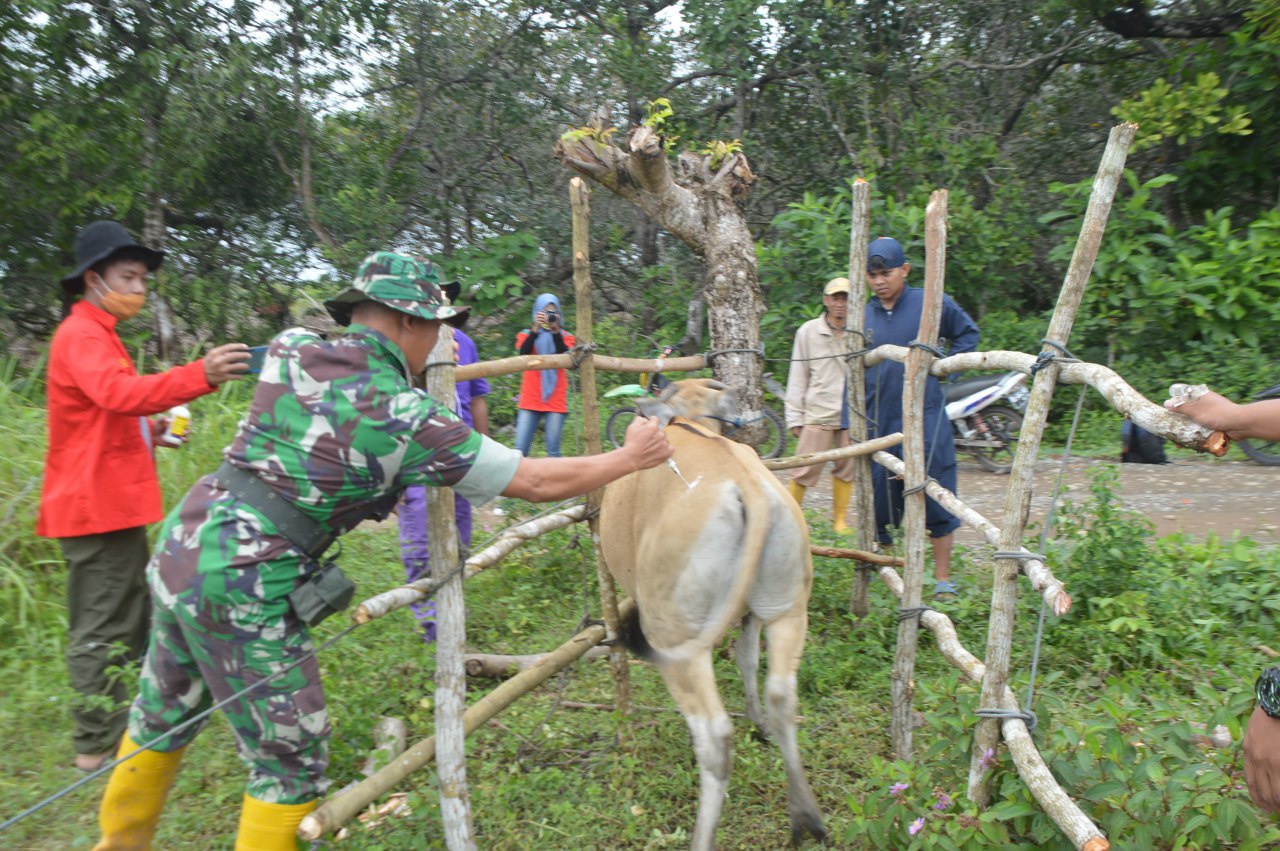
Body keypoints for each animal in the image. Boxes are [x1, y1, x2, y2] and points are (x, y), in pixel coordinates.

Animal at [596, 378, 824, 849]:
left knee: (715, 736)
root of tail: (749, 488)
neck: (687, 420)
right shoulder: (754, 613)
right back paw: (805, 817)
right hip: (789, 611)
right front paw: (757, 722)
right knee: (782, 694)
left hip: (677, 644)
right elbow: (746, 658)